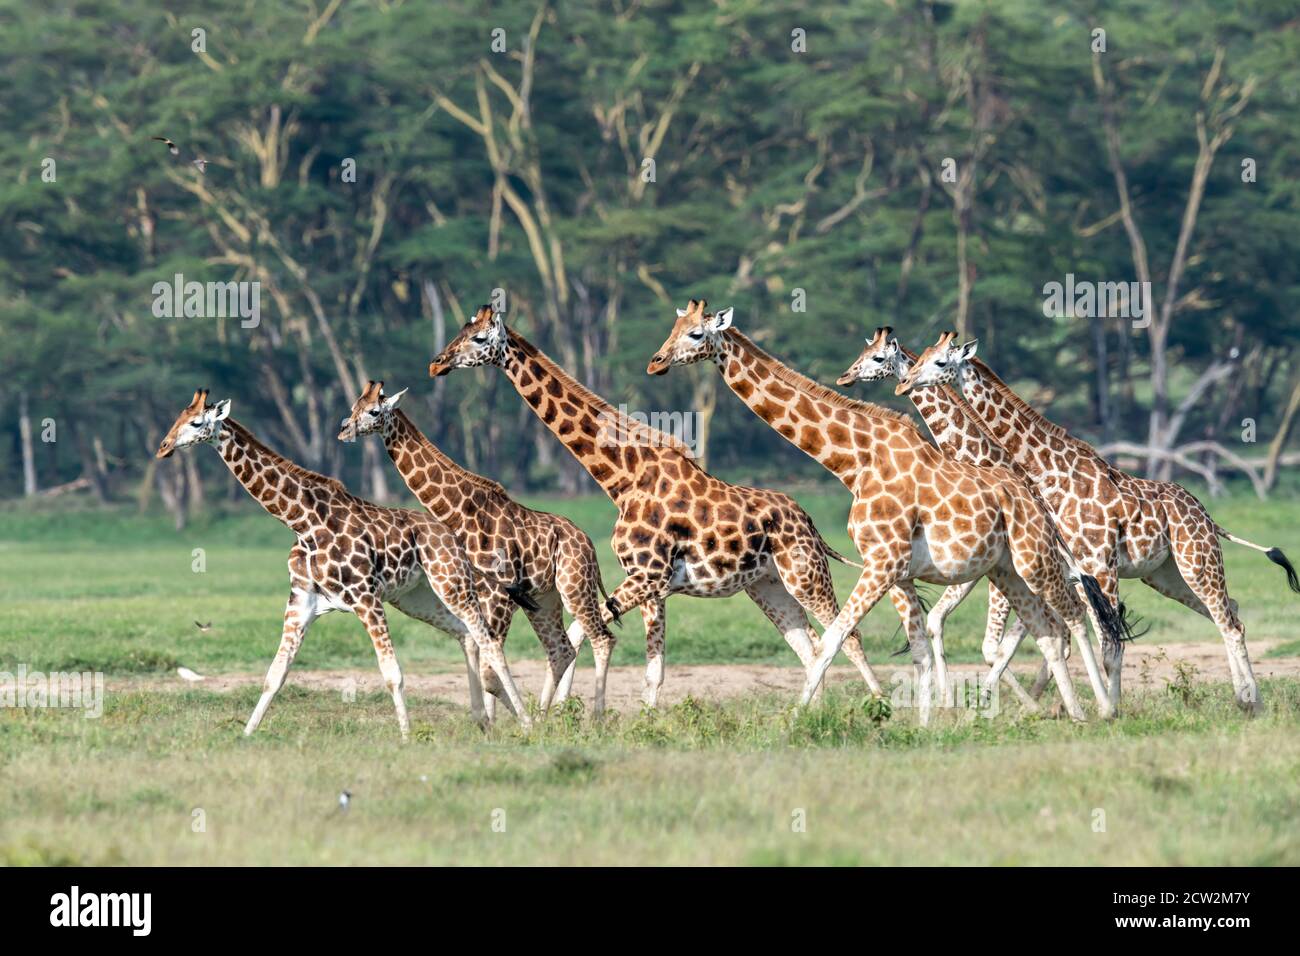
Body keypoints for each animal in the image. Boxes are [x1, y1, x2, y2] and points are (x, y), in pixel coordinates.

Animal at [153, 390, 533, 738]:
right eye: (178, 417)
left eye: (196, 422)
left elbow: (393, 673)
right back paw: (483, 722)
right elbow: (275, 674)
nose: (164, 446)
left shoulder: (366, 598)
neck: (303, 522)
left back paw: (527, 721)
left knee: (489, 642)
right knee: (466, 635)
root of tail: (452, 535)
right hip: (415, 596)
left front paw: (406, 737)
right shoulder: (301, 601)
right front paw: (246, 734)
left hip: (449, 581)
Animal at [343, 382, 621, 717]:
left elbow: (491, 665)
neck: (459, 511)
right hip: (546, 598)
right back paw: (543, 718)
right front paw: (496, 721)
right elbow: (487, 659)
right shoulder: (486, 594)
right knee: (561, 649)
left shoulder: (500, 595)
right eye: (354, 406)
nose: (344, 429)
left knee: (603, 639)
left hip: (575, 586)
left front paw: (500, 720)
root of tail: (589, 545)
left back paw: (596, 719)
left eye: (373, 411)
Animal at [431, 308, 889, 712]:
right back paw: (812, 711)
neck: (623, 478)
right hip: (768, 585)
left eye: (478, 338)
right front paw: (564, 712)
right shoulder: (652, 583)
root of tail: (810, 522)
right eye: (459, 331)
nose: (437, 364)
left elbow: (607, 645)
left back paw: (878, 707)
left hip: (804, 575)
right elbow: (627, 655)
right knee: (809, 645)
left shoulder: (649, 576)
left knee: (847, 636)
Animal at [650, 295, 1128, 723]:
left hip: (1034, 560)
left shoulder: (882, 563)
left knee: (1075, 616)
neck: (854, 462)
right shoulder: (896, 572)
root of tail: (1036, 497)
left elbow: (833, 641)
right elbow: (916, 650)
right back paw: (1073, 712)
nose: (655, 362)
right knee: (1048, 630)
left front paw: (795, 719)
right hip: (1005, 569)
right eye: (672, 328)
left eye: (695, 334)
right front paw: (927, 725)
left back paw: (1104, 708)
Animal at [894, 332, 1300, 712]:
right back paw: (1245, 699)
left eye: (940, 361)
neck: (1050, 474)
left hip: (1196, 562)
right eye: (923, 357)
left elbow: (1106, 645)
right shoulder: (1080, 571)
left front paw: (1109, 710)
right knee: (1229, 612)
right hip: (1166, 575)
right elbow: (1080, 638)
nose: (906, 382)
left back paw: (1251, 702)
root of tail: (1208, 517)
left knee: (1229, 623)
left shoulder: (1098, 566)